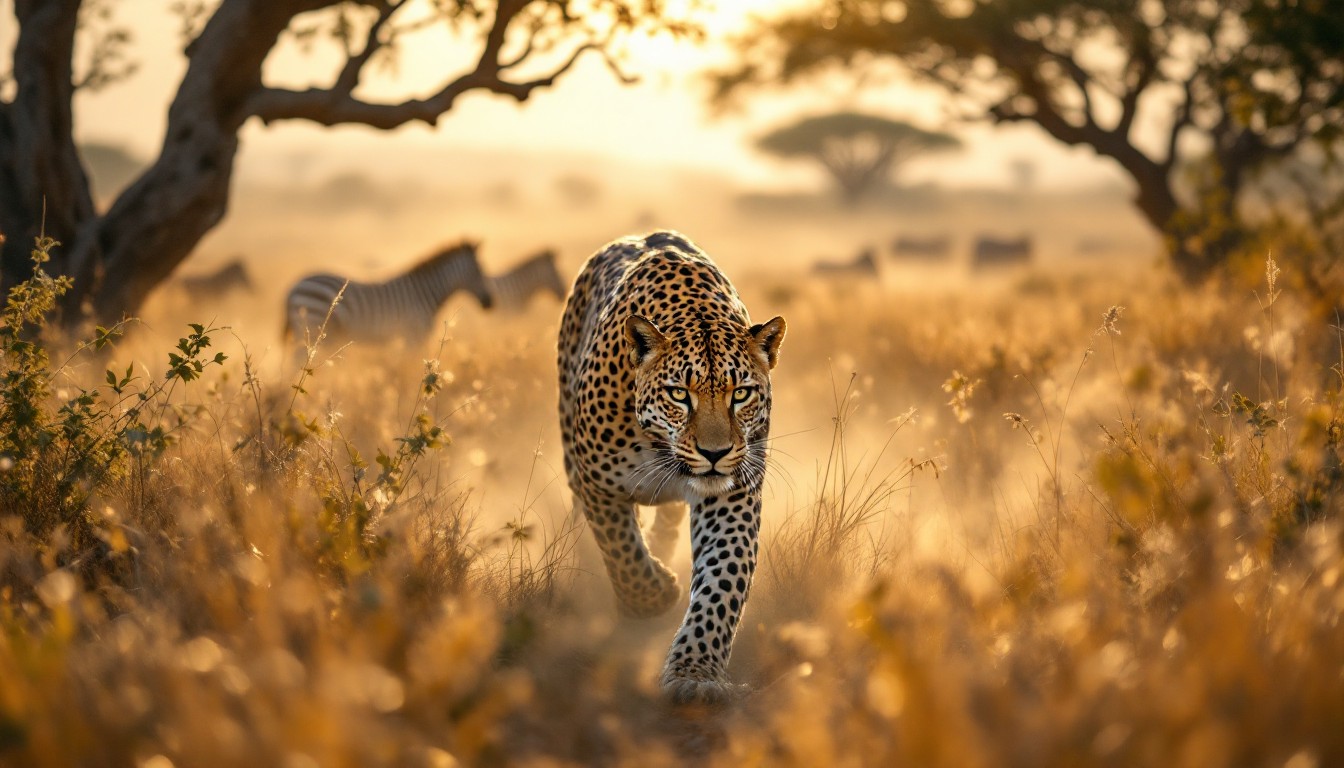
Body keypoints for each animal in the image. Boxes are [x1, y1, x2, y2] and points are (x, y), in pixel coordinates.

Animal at [557, 230, 786, 704]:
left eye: (741, 394)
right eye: (680, 394)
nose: (715, 453)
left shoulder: (734, 493)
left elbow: (722, 580)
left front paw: (695, 673)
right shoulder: (597, 483)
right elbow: (621, 551)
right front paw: (654, 595)